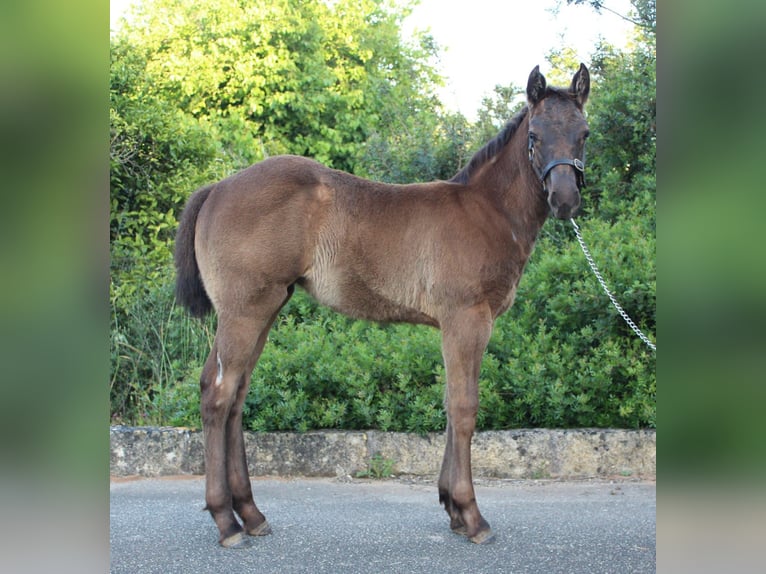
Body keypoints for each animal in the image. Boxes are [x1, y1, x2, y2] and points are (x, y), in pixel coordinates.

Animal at [174, 64, 590, 547]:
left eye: (583, 133)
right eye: (536, 135)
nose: (565, 200)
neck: (487, 211)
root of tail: (217, 188)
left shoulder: (454, 325)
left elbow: (449, 404)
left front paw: (451, 507)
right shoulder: (467, 318)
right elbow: (464, 407)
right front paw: (471, 515)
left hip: (265, 308)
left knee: (236, 396)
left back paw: (251, 514)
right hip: (245, 311)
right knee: (218, 395)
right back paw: (226, 521)